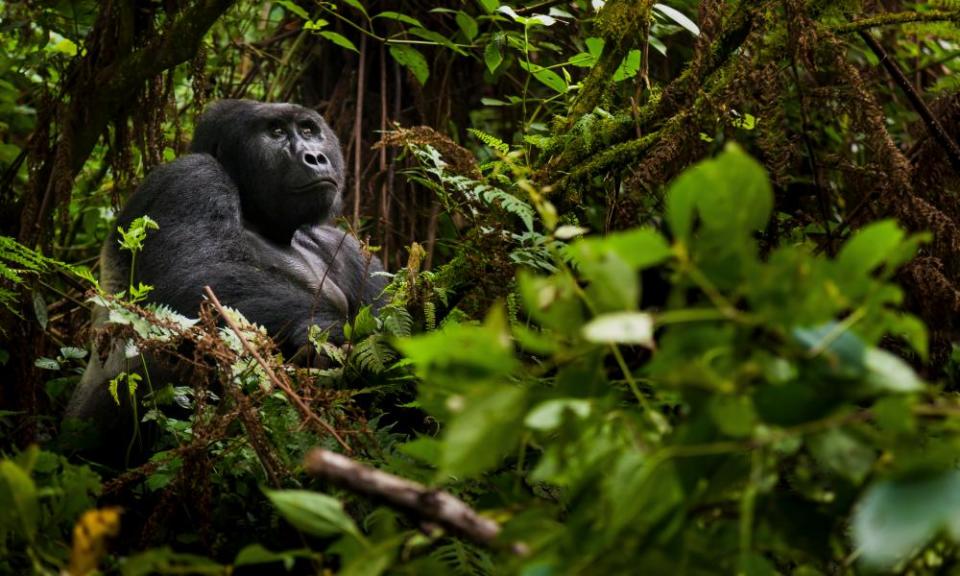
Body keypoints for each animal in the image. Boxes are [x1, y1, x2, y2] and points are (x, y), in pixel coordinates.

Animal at [63, 100, 388, 454]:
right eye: (276, 132)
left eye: (308, 130)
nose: (314, 156)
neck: (262, 219)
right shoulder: (192, 176)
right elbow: (189, 280)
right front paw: (324, 330)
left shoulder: (342, 245)